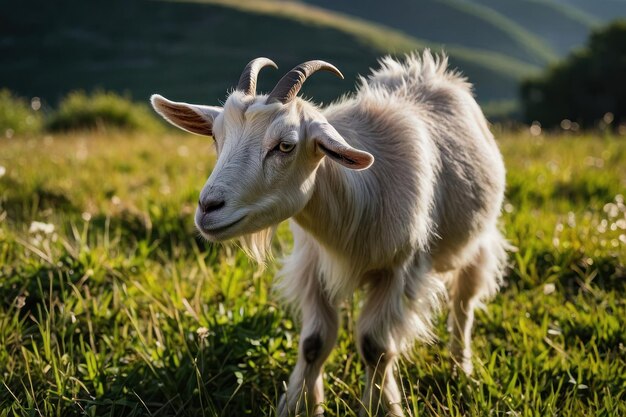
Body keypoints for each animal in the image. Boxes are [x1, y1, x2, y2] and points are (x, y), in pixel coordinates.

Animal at [151, 52, 508, 416]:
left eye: (285, 145)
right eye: (215, 137)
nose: (208, 207)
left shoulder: (401, 271)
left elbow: (375, 347)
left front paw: (381, 406)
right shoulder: (312, 265)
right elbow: (314, 343)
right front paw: (298, 405)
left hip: (480, 243)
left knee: (463, 303)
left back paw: (461, 367)